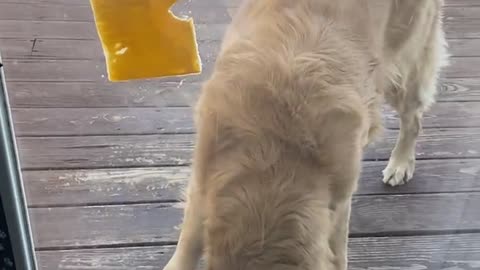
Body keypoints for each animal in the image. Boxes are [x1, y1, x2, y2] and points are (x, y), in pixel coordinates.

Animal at [163, 0, 448, 268]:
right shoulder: (203, 175)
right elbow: (189, 237)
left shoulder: (339, 200)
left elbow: (337, 250)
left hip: (401, 67)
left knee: (413, 120)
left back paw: (400, 163)